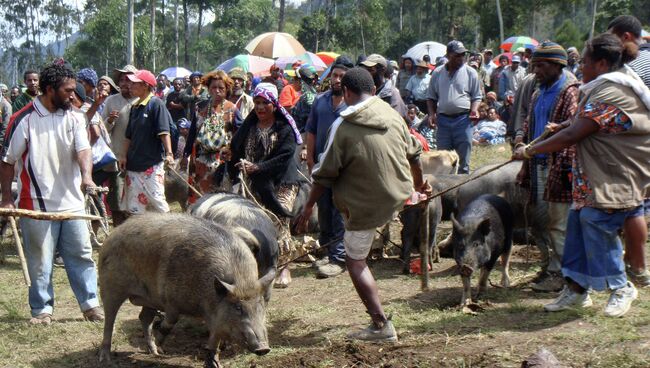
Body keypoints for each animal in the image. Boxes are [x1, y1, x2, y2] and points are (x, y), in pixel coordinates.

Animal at [97, 213, 274, 368]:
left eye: (261, 306)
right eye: (238, 307)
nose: (264, 348)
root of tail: (113, 234)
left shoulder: (215, 315)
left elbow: (214, 339)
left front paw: (215, 364)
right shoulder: (170, 300)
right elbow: (170, 322)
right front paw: (161, 345)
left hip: (149, 299)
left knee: (144, 317)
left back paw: (153, 352)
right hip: (110, 285)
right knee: (110, 320)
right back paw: (106, 359)